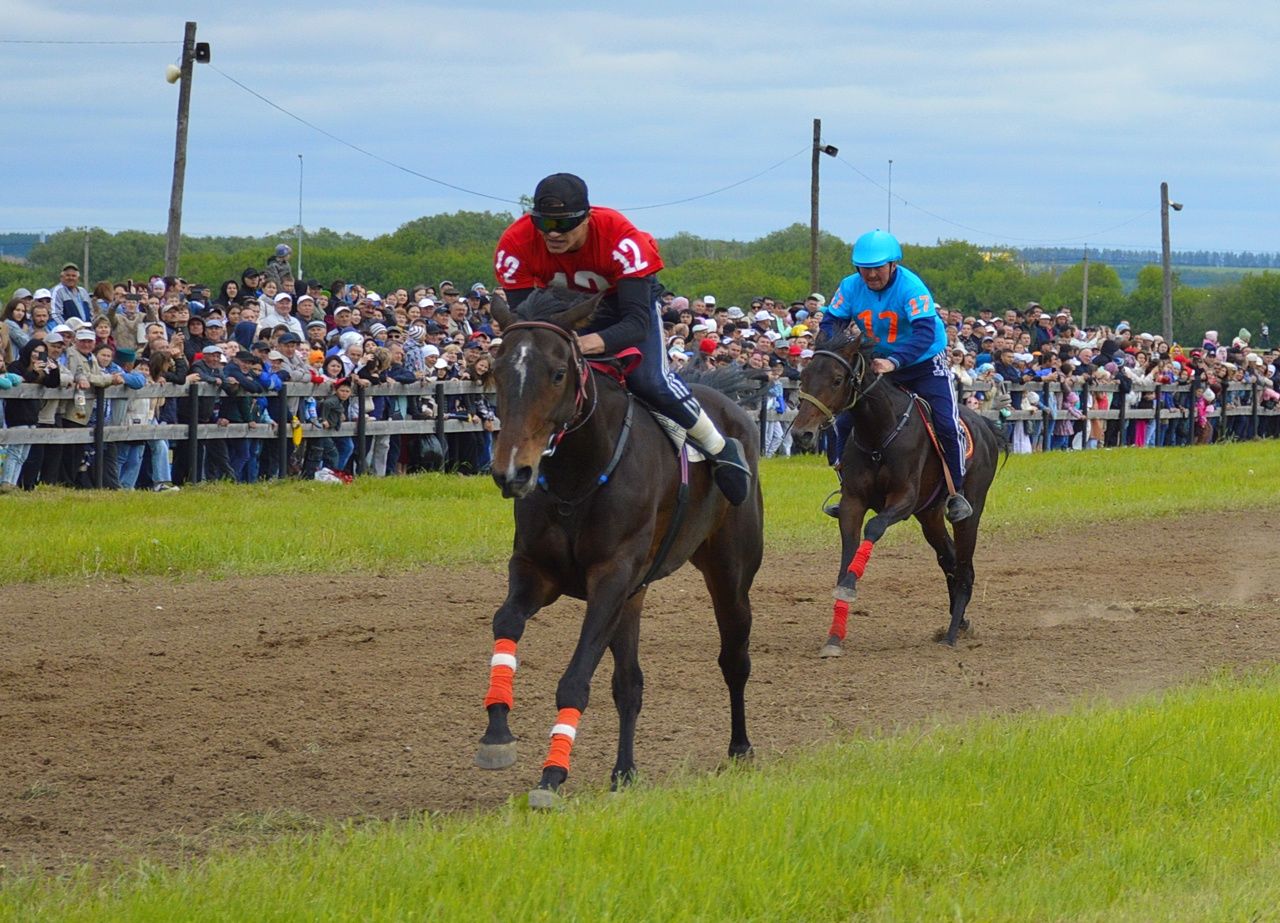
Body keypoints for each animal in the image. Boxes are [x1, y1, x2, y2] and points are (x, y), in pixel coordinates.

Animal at [478, 288, 757, 809]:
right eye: (496, 371)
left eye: (558, 373)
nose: (513, 472)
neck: (578, 471)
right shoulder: (538, 569)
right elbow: (506, 621)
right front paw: (497, 733)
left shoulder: (611, 576)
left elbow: (574, 680)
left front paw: (551, 775)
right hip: (635, 595)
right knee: (629, 684)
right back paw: (624, 771)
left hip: (730, 573)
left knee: (735, 658)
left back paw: (740, 746)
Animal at [788, 330, 1008, 655]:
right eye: (803, 377)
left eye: (837, 380)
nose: (801, 433)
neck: (879, 433)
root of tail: (984, 425)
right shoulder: (853, 501)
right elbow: (849, 549)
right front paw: (834, 635)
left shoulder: (903, 499)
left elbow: (874, 526)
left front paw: (848, 591)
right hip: (929, 515)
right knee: (950, 560)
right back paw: (961, 621)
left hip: (970, 511)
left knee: (965, 567)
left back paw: (952, 634)